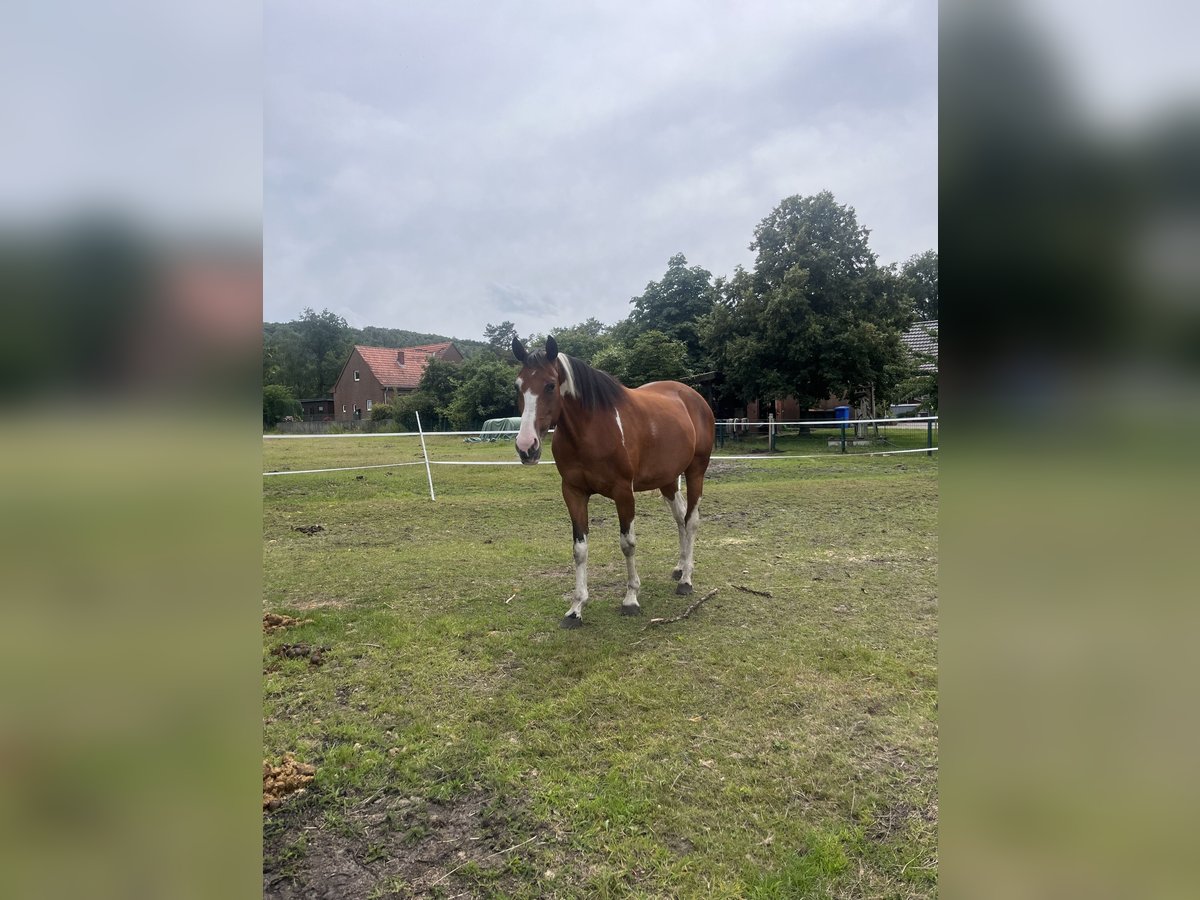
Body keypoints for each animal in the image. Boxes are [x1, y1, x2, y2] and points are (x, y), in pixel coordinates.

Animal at [512, 336, 716, 628]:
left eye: (550, 385)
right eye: (518, 386)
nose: (526, 447)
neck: (592, 429)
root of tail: (693, 397)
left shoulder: (623, 493)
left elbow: (627, 544)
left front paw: (631, 599)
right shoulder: (573, 492)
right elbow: (579, 549)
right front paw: (576, 608)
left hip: (696, 471)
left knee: (691, 520)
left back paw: (686, 579)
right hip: (667, 480)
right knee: (679, 520)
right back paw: (679, 568)